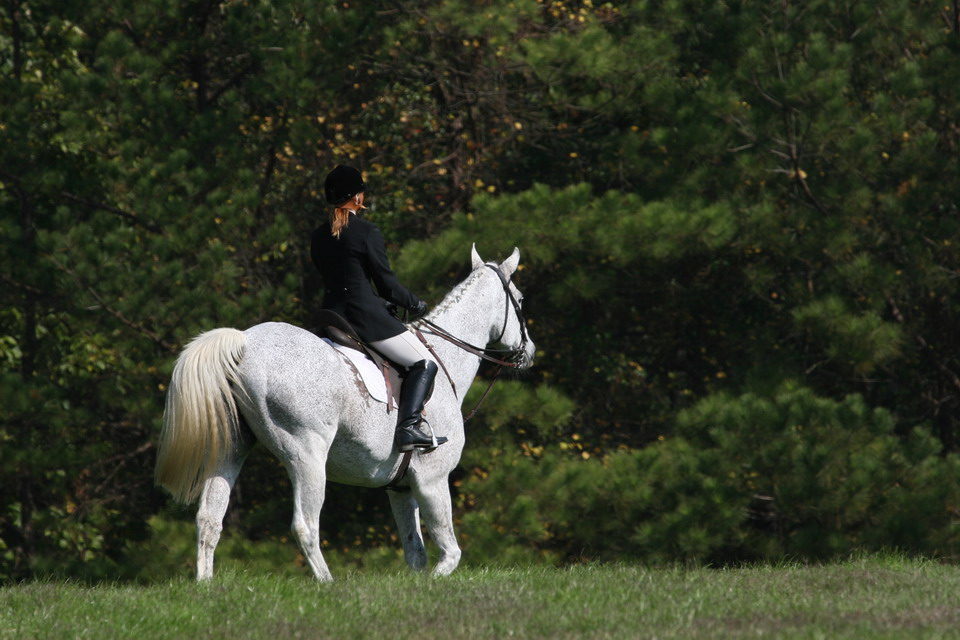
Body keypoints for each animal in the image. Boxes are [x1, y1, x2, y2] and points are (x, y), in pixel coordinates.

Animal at [154, 245, 535, 581]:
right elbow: (450, 554)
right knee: (305, 524)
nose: (528, 352)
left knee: (209, 517)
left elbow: (416, 552)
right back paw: (327, 583)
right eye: (519, 298)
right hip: (307, 455)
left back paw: (206, 585)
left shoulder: (401, 488)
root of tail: (245, 342)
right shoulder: (432, 479)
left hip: (233, 449)